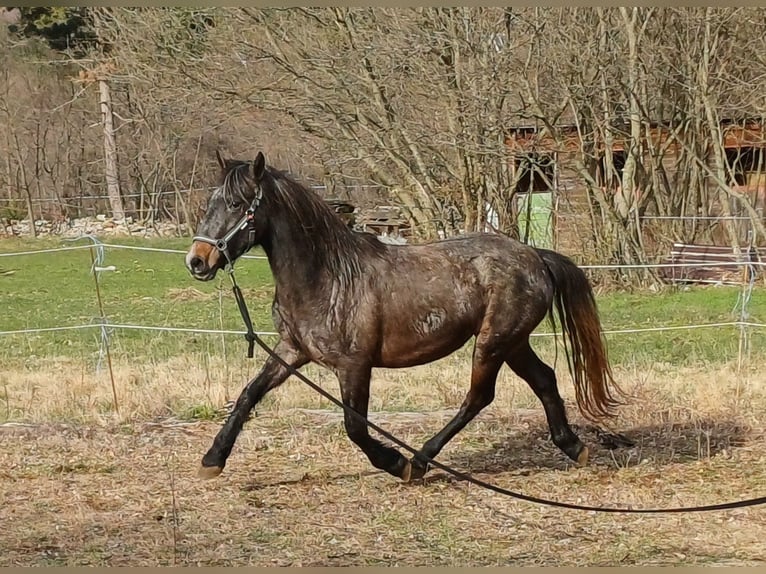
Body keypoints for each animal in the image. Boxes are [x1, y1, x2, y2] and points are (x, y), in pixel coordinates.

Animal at [188, 151, 632, 484]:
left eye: (236, 204)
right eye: (210, 203)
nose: (197, 260)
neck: (329, 277)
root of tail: (535, 256)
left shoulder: (354, 365)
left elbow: (354, 426)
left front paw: (394, 462)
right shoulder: (291, 350)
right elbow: (248, 395)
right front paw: (212, 460)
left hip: (494, 343)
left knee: (479, 397)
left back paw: (419, 460)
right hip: (513, 342)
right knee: (544, 380)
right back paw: (573, 447)